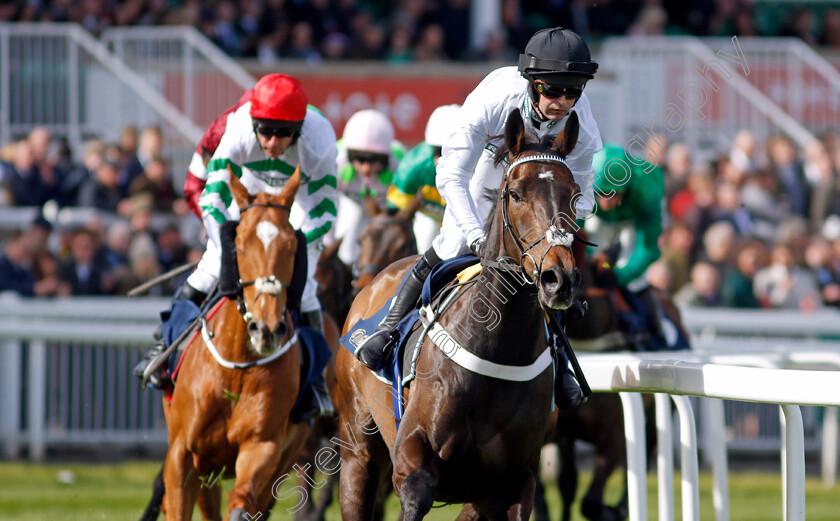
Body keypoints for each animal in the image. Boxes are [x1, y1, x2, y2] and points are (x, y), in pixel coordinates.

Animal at [161, 168, 328, 520]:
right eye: (239, 243)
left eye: (291, 244)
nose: (267, 329)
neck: (236, 367)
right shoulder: (182, 455)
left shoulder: (262, 446)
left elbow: (242, 500)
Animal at [334, 107, 584, 520]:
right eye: (515, 194)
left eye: (575, 196)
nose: (558, 278)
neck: (498, 348)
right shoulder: (411, 461)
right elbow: (416, 491)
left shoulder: (514, 480)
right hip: (357, 447)